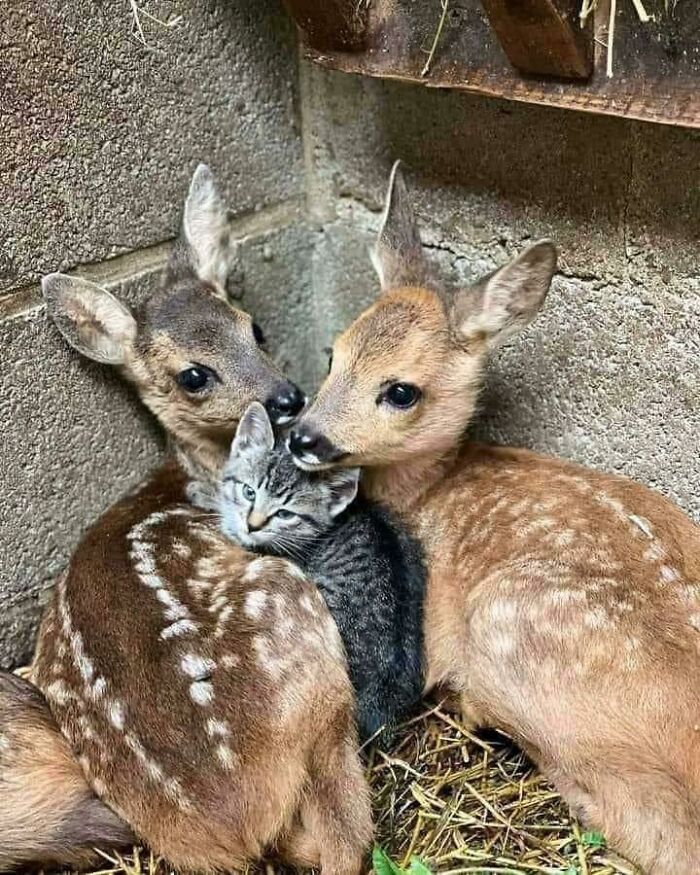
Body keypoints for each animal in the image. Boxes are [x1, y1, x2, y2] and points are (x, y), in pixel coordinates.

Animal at [0, 164, 372, 874]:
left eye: (254, 329)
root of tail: (230, 823)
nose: (288, 397)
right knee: (342, 832)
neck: (193, 476)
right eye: (194, 376)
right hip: (296, 618)